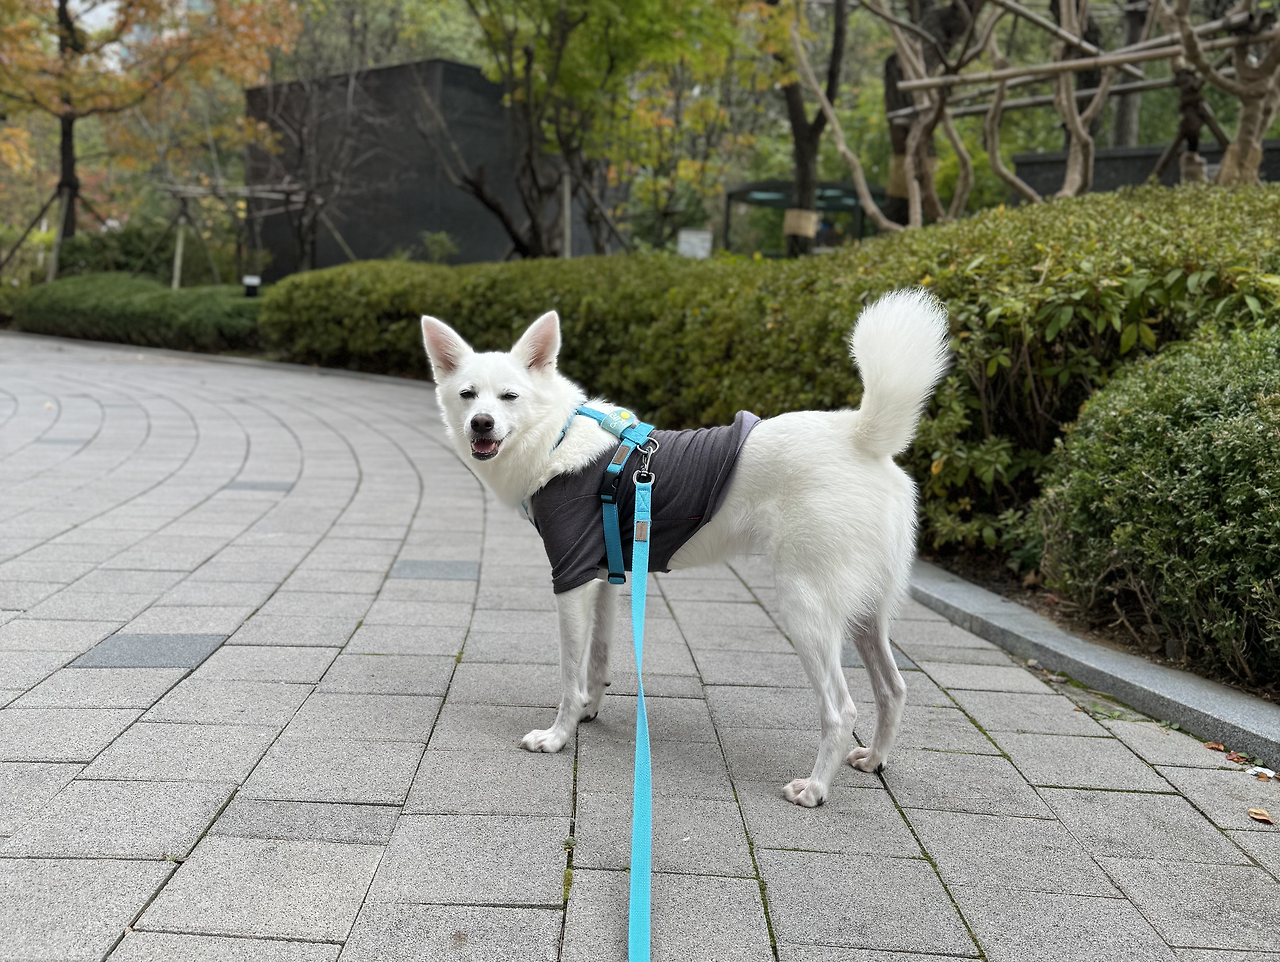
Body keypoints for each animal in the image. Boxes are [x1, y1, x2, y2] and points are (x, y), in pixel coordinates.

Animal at [420, 288, 951, 807]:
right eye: (467, 395)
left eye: (510, 397)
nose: (481, 424)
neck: (556, 436)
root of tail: (861, 437)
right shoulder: (606, 575)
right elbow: (599, 658)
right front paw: (591, 710)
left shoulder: (571, 578)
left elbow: (570, 673)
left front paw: (558, 736)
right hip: (866, 612)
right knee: (893, 688)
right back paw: (874, 759)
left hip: (807, 607)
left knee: (842, 709)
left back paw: (816, 789)